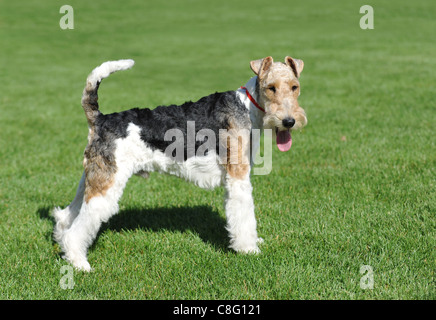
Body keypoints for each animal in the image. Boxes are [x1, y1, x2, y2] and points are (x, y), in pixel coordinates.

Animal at [53, 55, 306, 270]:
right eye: (271, 87)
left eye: (295, 86)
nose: (289, 121)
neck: (248, 107)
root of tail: (100, 119)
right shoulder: (238, 177)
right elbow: (244, 216)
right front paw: (249, 249)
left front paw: (254, 242)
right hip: (107, 183)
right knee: (78, 228)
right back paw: (80, 264)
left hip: (92, 177)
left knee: (67, 216)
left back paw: (64, 247)